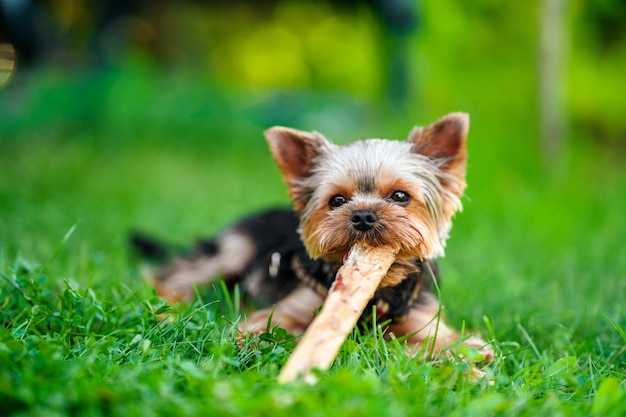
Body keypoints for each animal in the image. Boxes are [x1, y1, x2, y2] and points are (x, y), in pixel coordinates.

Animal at [130, 112, 492, 362]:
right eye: (337, 200)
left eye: (401, 196)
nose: (363, 215)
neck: (375, 291)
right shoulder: (295, 307)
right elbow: (271, 327)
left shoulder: (419, 317)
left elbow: (433, 339)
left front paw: (464, 356)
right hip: (232, 249)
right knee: (173, 273)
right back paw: (165, 307)